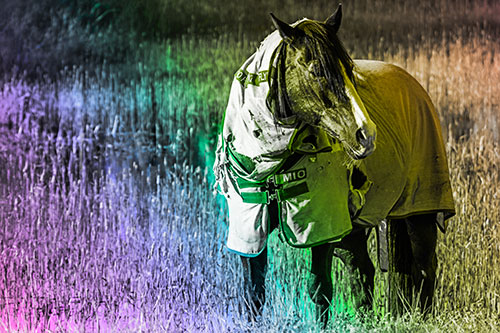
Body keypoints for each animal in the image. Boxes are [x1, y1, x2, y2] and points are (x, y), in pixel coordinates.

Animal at [213, 4, 456, 326]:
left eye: (350, 70)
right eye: (317, 70)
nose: (366, 135)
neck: (274, 160)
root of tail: (414, 85)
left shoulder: (323, 226)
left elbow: (319, 288)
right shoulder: (250, 225)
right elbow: (253, 292)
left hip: (419, 211)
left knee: (425, 267)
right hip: (354, 230)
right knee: (362, 270)